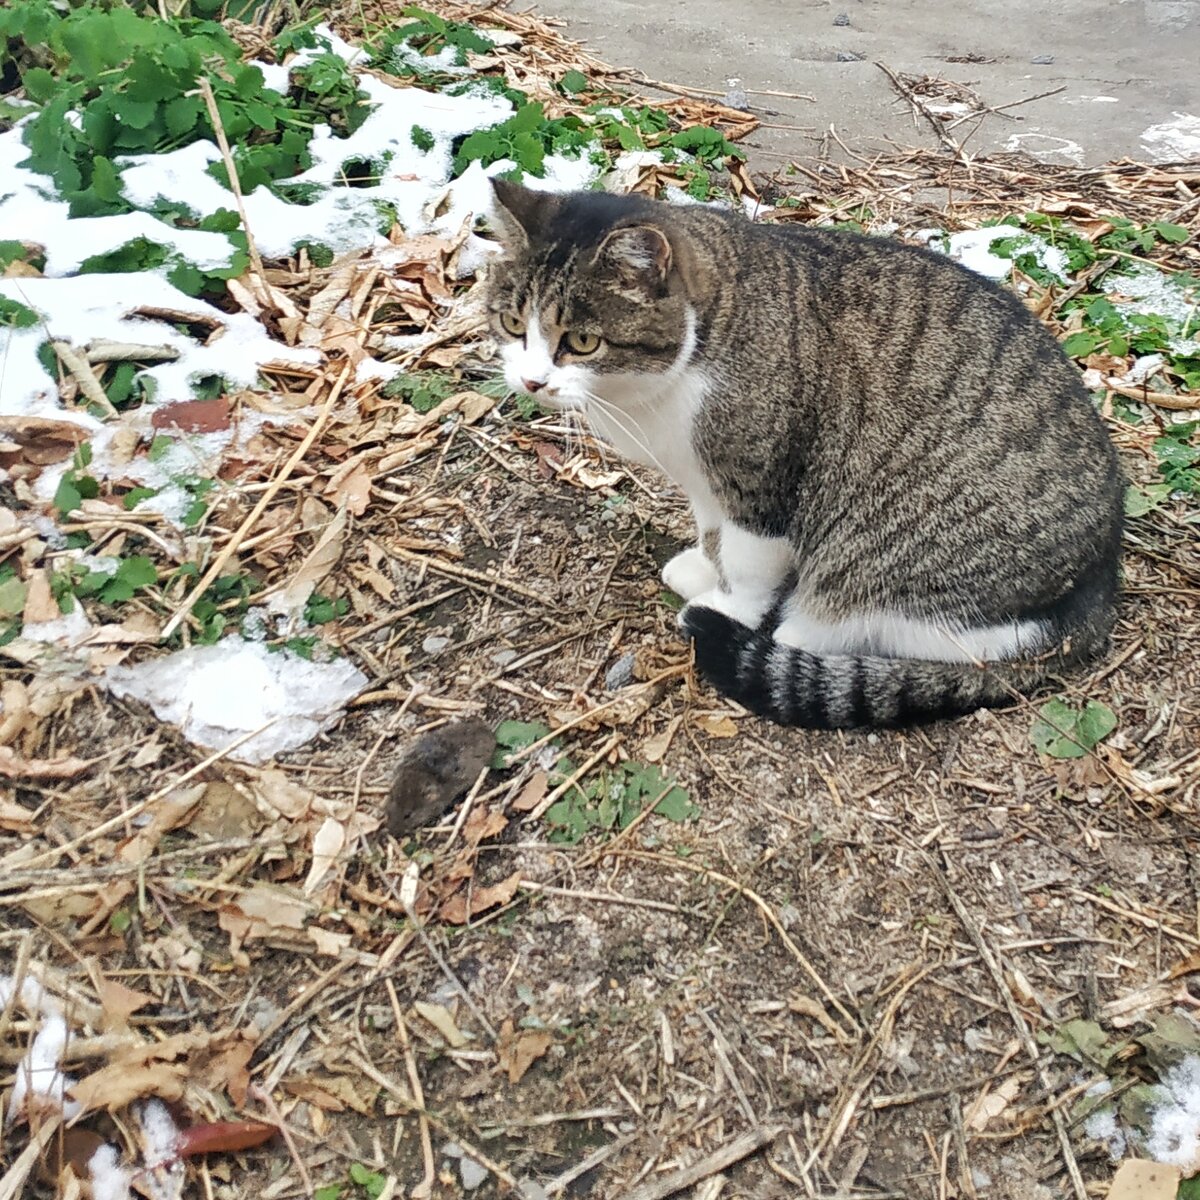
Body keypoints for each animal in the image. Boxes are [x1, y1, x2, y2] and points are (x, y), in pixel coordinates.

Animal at [480, 174, 1123, 724]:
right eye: (512, 324)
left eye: (582, 341)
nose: (531, 382)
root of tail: (1098, 588)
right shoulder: (706, 479)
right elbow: (710, 533)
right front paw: (701, 568)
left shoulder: (760, 479)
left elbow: (746, 562)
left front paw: (730, 607)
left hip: (894, 548)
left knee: (935, 634)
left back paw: (798, 634)